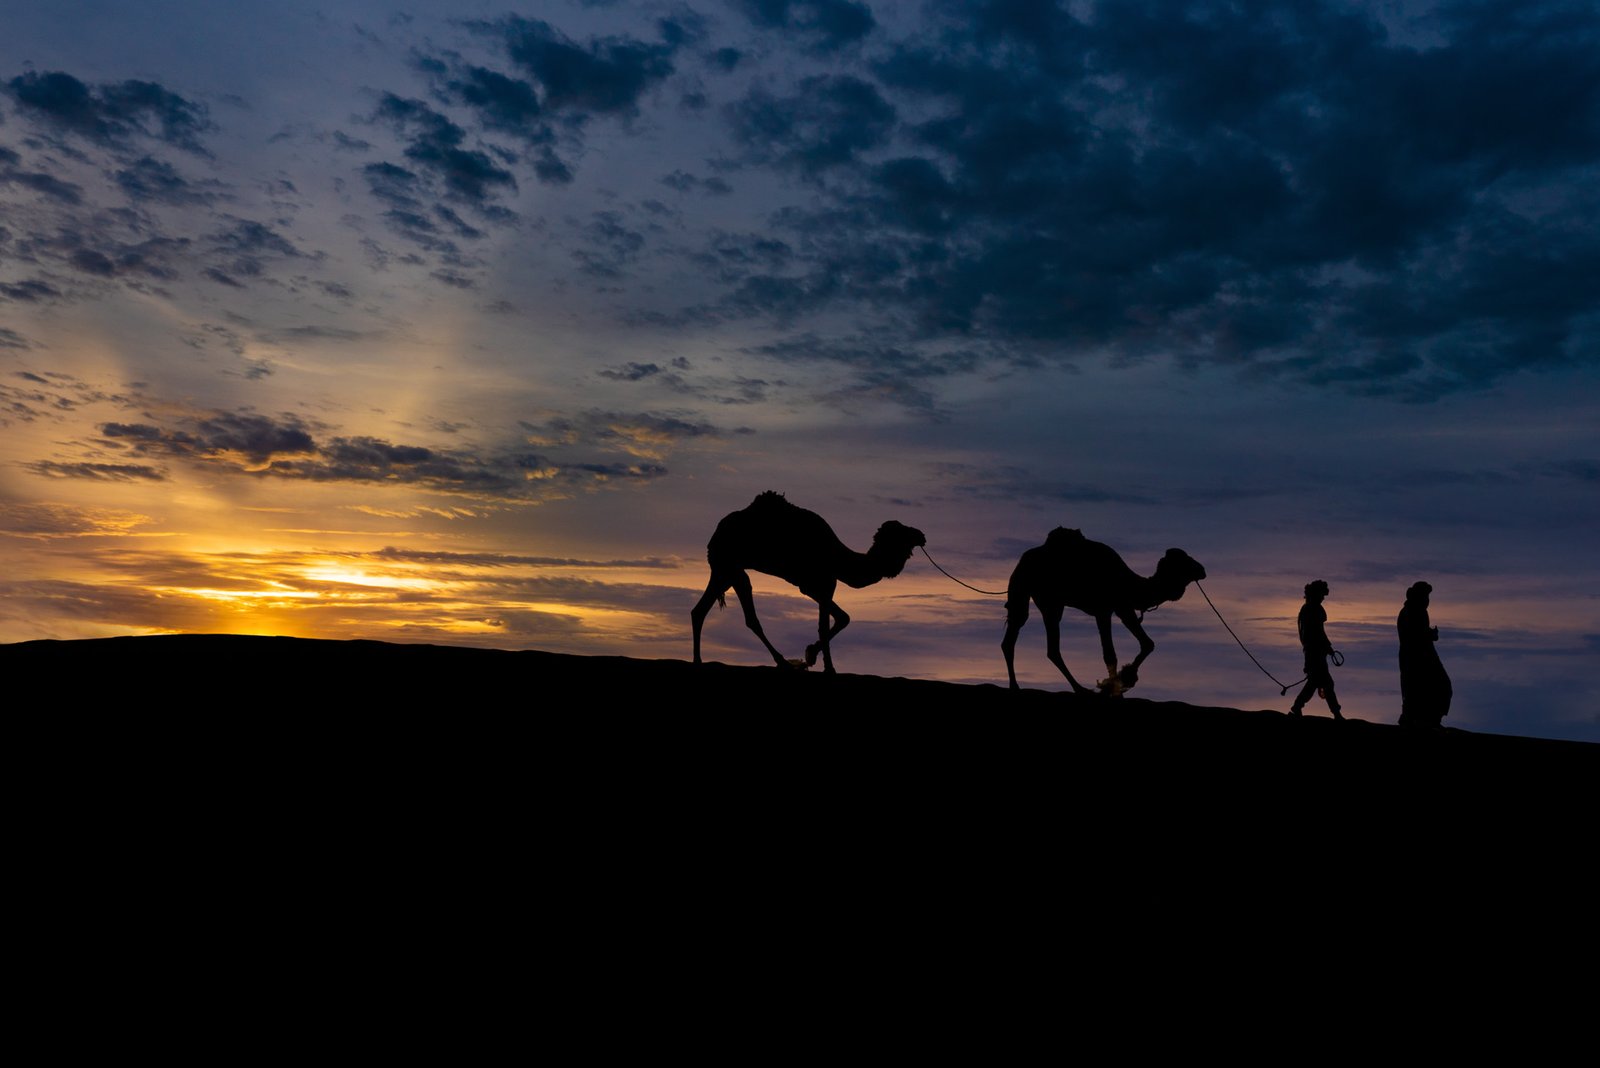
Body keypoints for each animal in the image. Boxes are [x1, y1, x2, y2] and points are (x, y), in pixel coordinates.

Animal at [691, 491, 926, 673]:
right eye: (902, 532)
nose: (921, 535)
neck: (839, 559)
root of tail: (716, 532)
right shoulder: (823, 582)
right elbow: (826, 624)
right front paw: (826, 666)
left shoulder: (810, 586)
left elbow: (842, 617)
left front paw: (811, 655)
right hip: (729, 565)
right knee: (748, 617)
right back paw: (783, 662)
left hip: (726, 570)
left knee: (701, 610)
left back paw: (698, 661)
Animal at [1001, 527, 1206, 695]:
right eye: (1184, 561)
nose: (1202, 570)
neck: (1131, 584)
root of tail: (1022, 560)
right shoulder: (1107, 609)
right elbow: (1113, 653)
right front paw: (1114, 686)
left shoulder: (1121, 608)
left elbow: (1145, 644)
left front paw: (1122, 681)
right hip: (1045, 599)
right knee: (1045, 644)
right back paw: (1077, 688)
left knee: (1018, 639)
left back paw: (1016, 685)